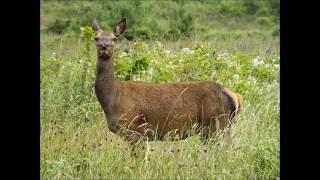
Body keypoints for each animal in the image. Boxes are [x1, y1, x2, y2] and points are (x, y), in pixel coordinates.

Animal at [91, 17, 241, 156]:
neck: (113, 98)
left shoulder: (135, 129)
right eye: (96, 38)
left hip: (217, 124)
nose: (104, 46)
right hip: (214, 129)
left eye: (114, 38)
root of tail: (234, 96)